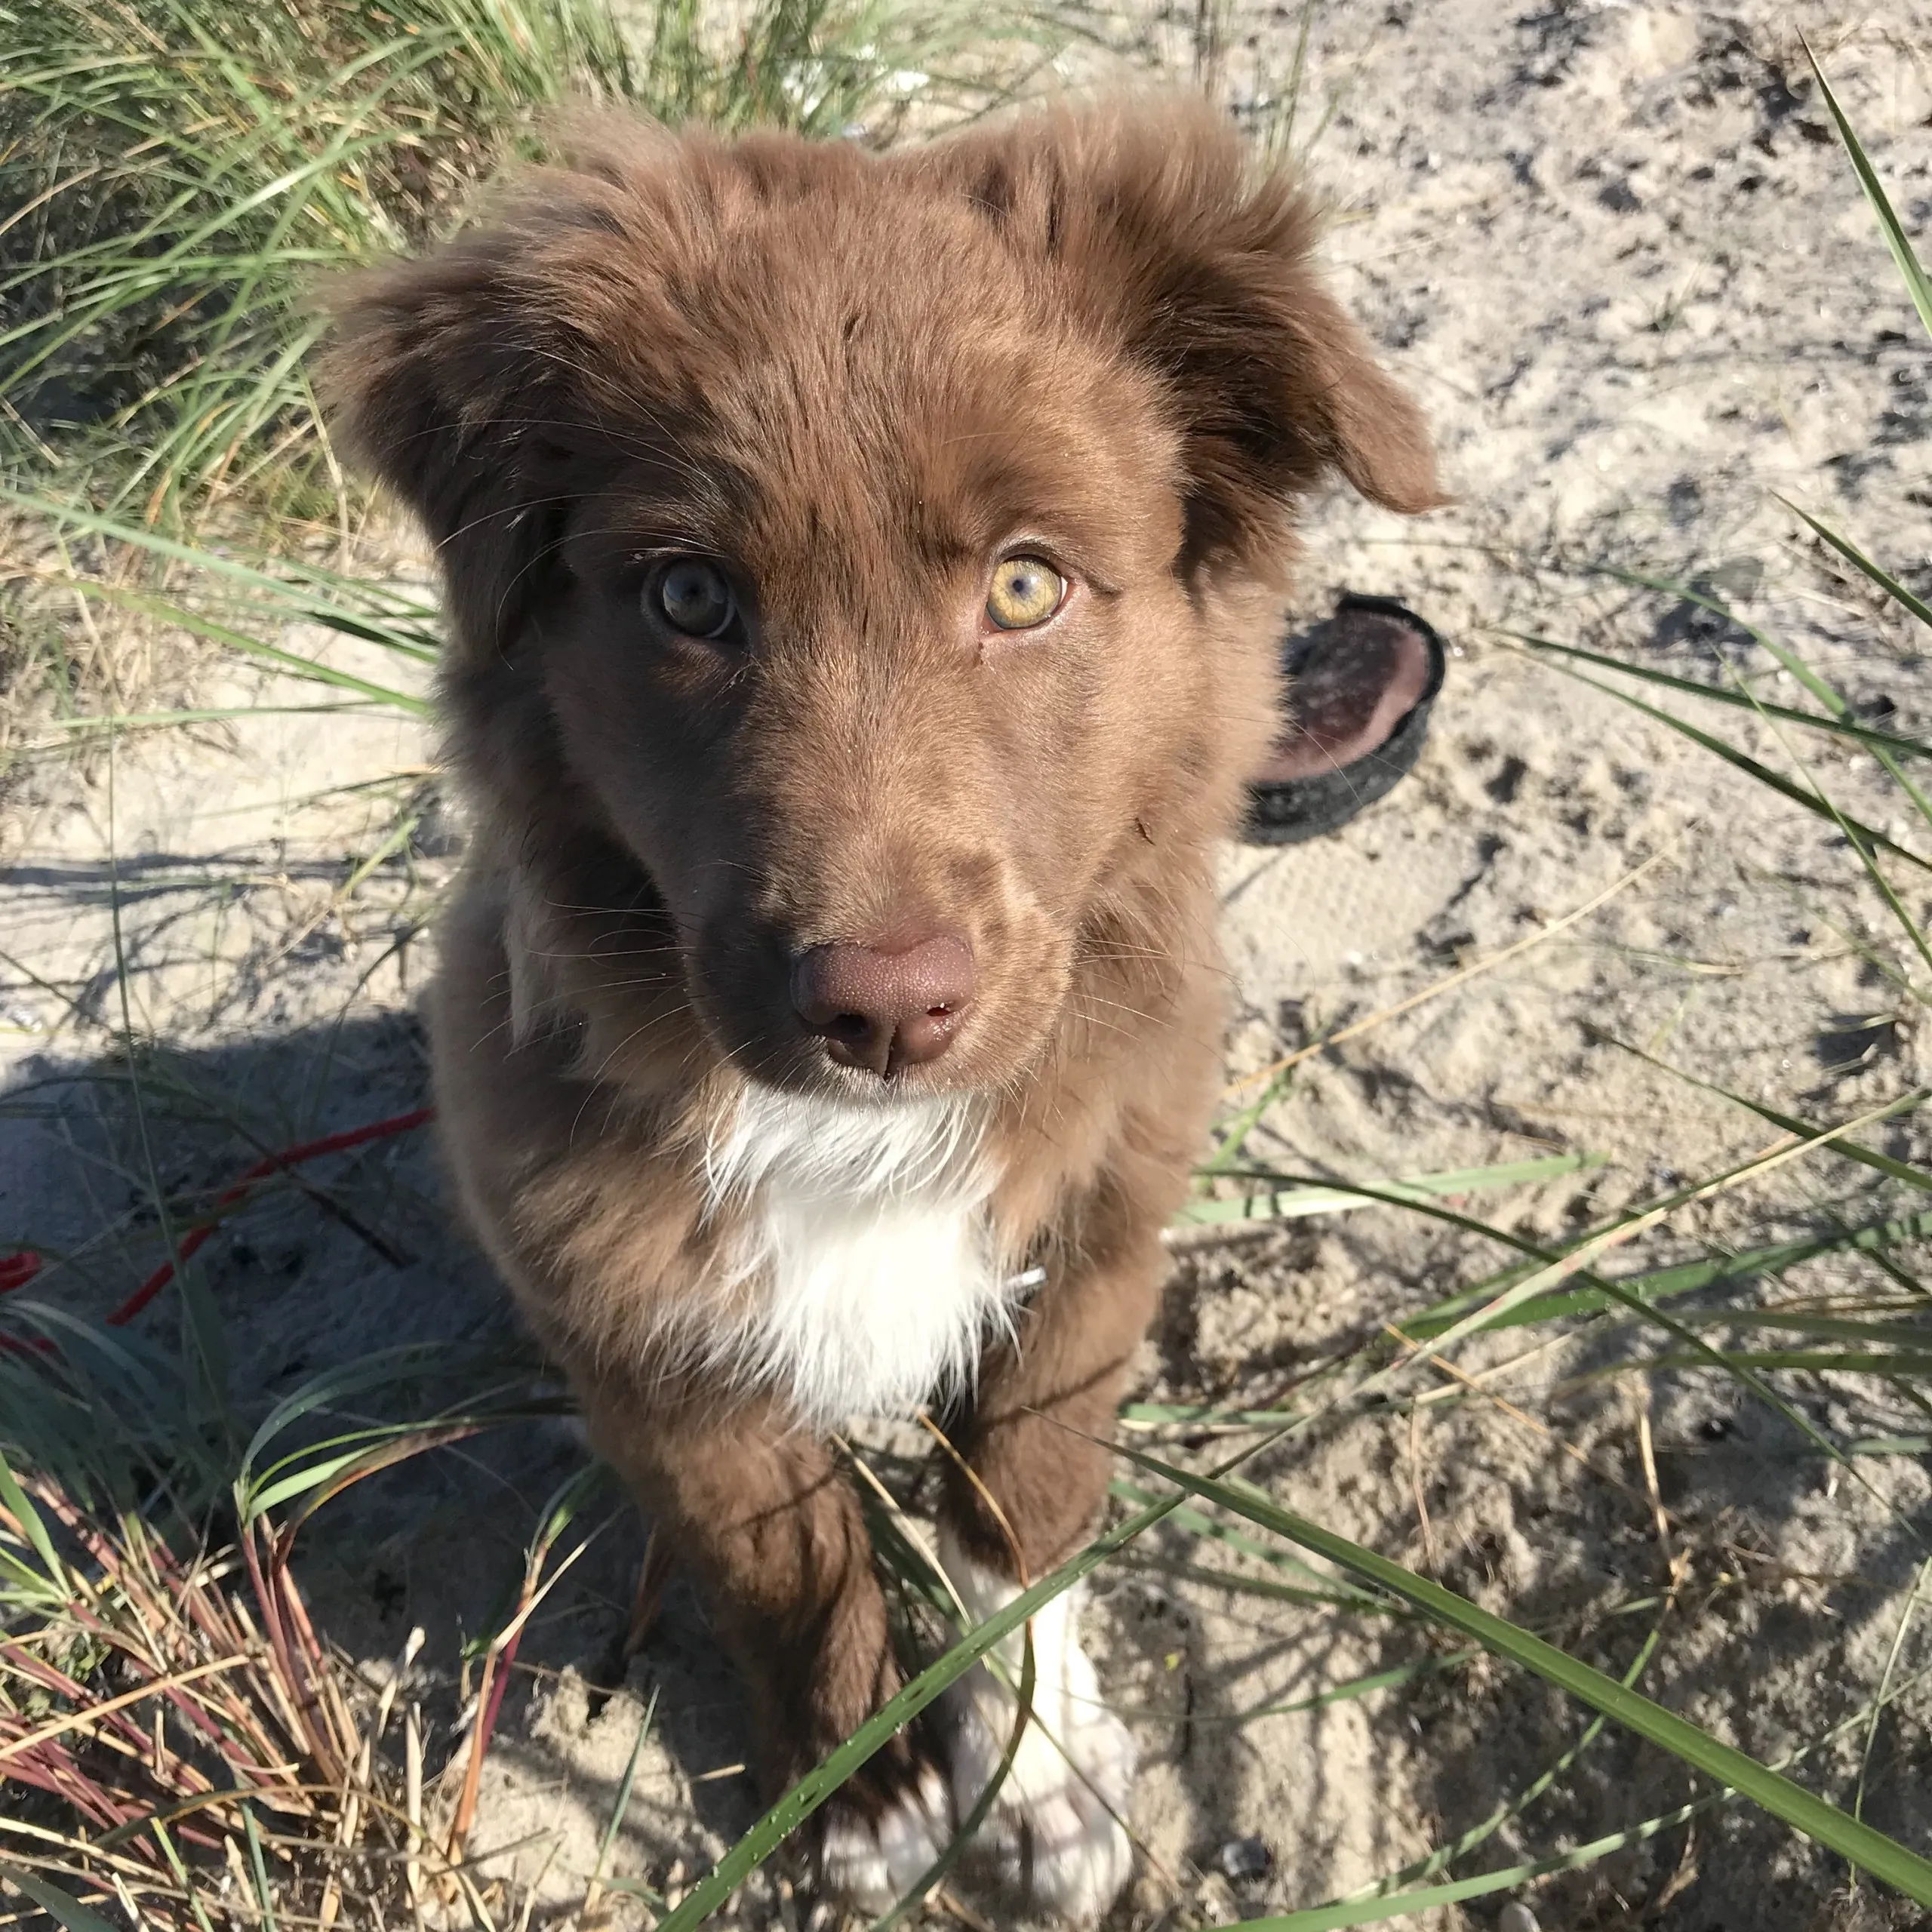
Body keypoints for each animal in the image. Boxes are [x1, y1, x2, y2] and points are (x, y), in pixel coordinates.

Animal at [325, 102, 1429, 1916]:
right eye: (688, 599)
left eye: (1028, 587)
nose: (883, 1008)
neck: (844, 1141)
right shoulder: (652, 1340)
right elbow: (791, 1563)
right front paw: (854, 1802)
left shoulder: (1083, 1253)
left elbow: (1012, 1520)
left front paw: (1038, 1783)